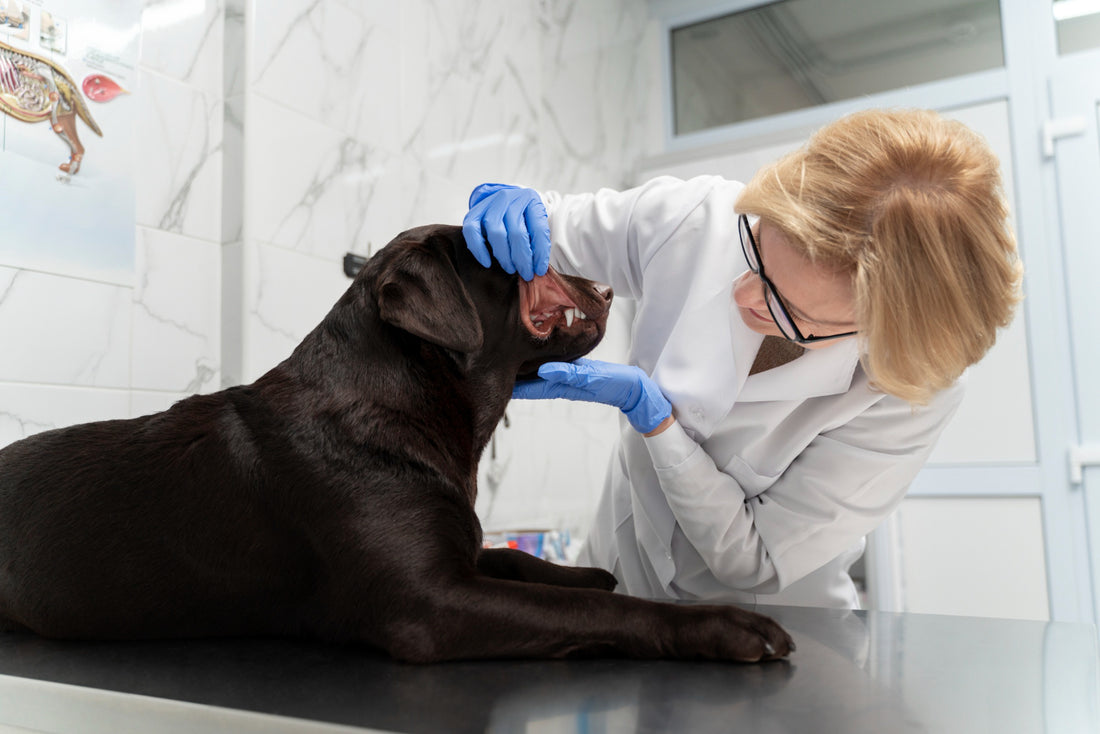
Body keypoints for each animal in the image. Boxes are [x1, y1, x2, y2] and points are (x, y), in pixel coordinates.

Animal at [0, 222, 792, 660]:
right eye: (518, 260)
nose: (602, 285)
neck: (412, 402)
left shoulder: (454, 554)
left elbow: (512, 555)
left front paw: (583, 571)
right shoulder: (430, 603)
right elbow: (601, 613)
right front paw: (724, 627)